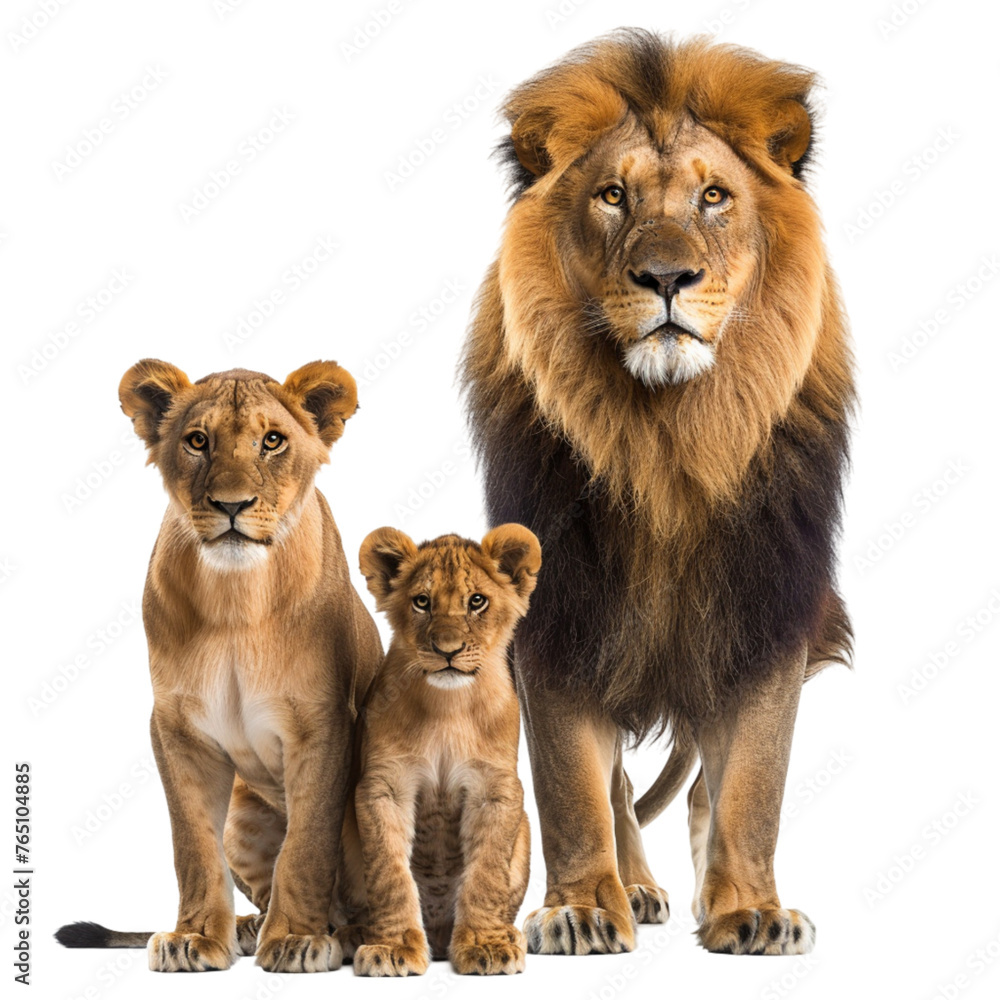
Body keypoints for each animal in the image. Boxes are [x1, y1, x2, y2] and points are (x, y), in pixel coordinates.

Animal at [55, 360, 383, 973]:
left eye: (272, 441)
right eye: (197, 441)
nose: (232, 505)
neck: (236, 600)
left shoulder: (323, 723)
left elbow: (308, 843)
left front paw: (295, 939)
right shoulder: (176, 727)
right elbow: (191, 844)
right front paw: (195, 938)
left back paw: (341, 933)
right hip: (242, 818)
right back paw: (250, 928)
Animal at [332, 526, 538, 976]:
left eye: (476, 601)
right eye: (422, 602)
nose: (448, 649)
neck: (449, 707)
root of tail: (441, 937)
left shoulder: (496, 789)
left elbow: (486, 874)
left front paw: (486, 944)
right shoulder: (384, 786)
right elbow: (390, 873)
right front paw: (392, 947)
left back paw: (509, 935)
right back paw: (354, 935)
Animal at [461, 30, 854, 956]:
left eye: (714, 196)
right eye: (613, 196)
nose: (667, 276)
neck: (667, 440)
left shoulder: (766, 612)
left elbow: (752, 783)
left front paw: (749, 908)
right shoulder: (559, 614)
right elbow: (573, 783)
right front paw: (580, 907)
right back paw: (632, 887)